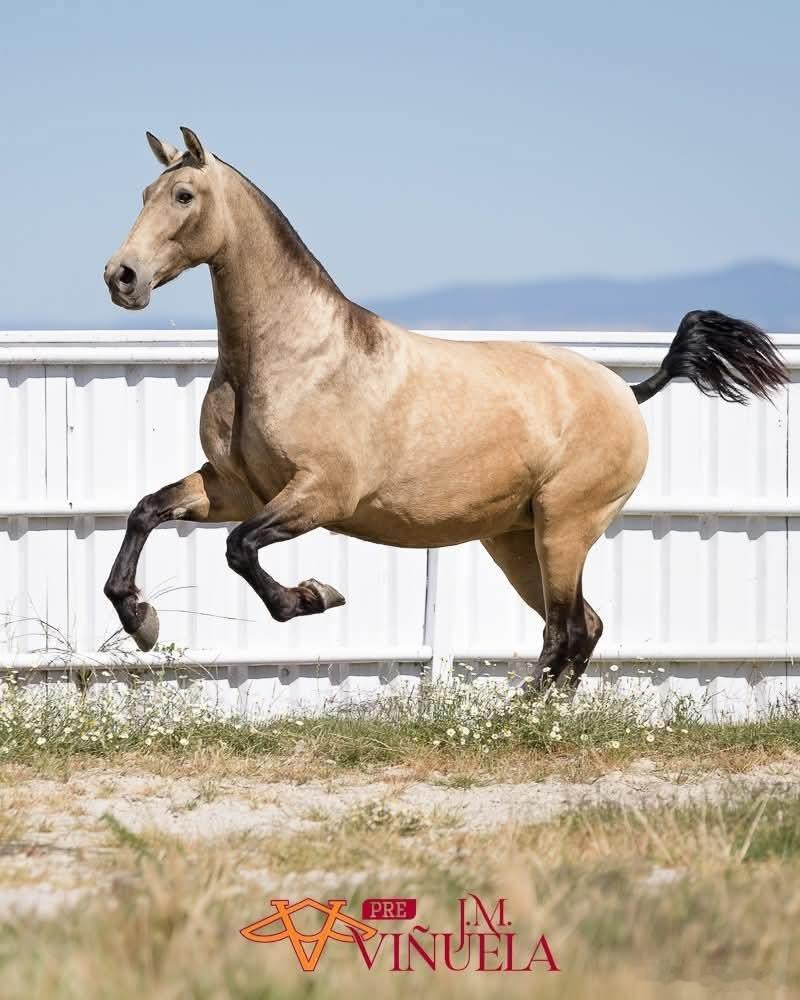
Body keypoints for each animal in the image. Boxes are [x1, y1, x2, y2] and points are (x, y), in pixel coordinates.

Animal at [102, 127, 787, 688]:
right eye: (145, 192)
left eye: (183, 196)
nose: (121, 277)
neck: (296, 356)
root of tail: (627, 392)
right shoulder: (235, 488)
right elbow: (146, 512)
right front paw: (141, 619)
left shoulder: (321, 495)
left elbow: (240, 549)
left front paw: (313, 596)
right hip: (517, 539)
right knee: (582, 628)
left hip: (565, 527)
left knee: (566, 630)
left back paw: (518, 723)